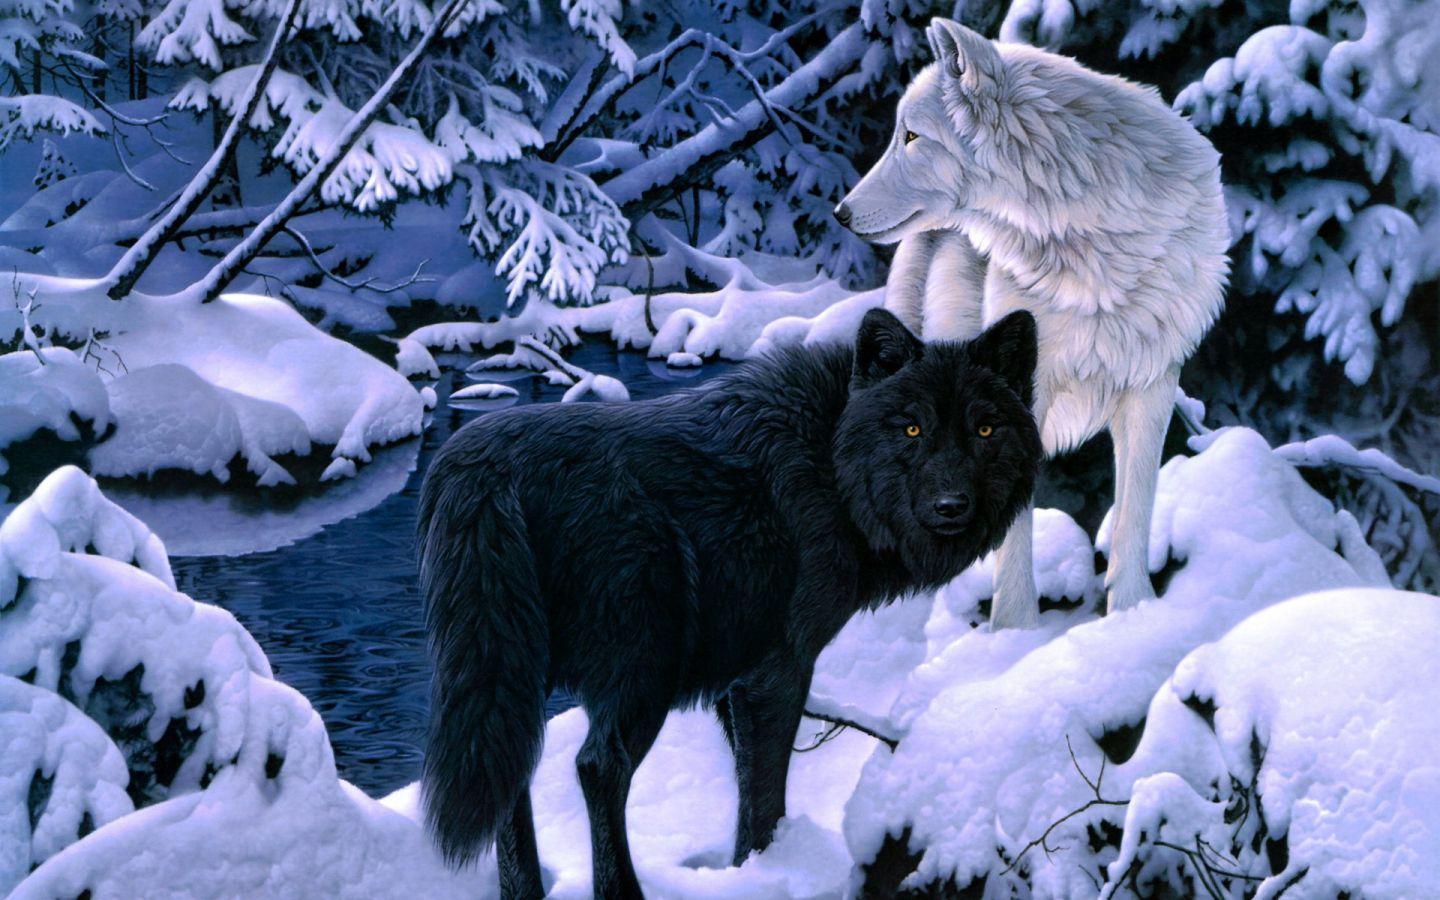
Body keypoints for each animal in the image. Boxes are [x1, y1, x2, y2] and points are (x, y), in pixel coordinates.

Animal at [418, 309, 1042, 898]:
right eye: (912, 429)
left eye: (985, 429)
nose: (951, 506)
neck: (830, 461)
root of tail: (484, 468)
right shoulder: (780, 666)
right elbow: (764, 797)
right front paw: (767, 874)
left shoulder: (734, 680)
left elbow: (746, 781)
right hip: (645, 668)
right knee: (597, 766)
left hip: (511, 674)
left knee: (511, 771)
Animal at [835, 19, 1229, 628]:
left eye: (911, 136)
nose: (842, 212)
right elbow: (1013, 532)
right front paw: (1014, 632)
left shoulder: (1153, 386)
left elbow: (1135, 511)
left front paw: (1133, 617)